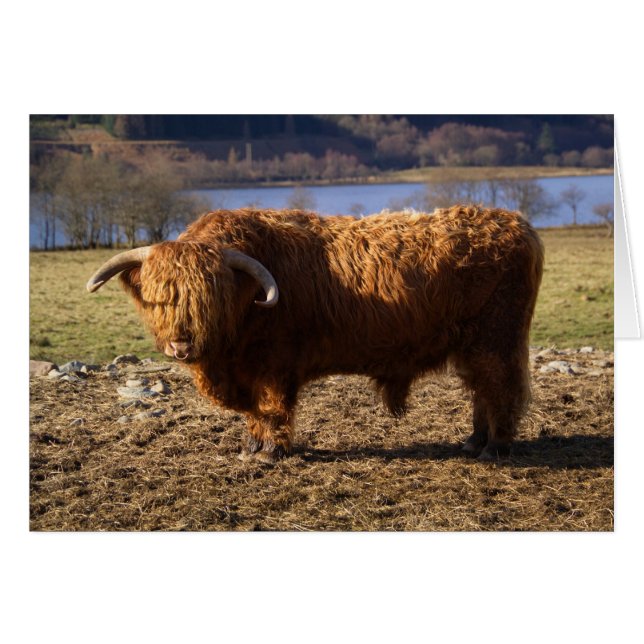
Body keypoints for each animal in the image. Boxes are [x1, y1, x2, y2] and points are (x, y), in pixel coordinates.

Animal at [87, 206, 544, 463]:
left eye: (210, 297)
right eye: (160, 298)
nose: (181, 344)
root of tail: (518, 223)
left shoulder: (275, 366)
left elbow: (272, 408)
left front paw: (271, 453)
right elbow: (254, 413)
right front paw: (252, 447)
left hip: (497, 339)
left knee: (501, 389)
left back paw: (494, 448)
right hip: (472, 344)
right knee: (481, 390)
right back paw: (473, 441)